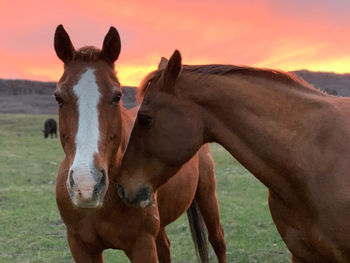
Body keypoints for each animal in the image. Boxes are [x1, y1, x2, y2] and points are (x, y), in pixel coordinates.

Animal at [53, 25, 226, 262]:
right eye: (58, 98)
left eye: (117, 96)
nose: (86, 185)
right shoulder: (80, 246)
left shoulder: (142, 245)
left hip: (207, 196)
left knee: (218, 240)